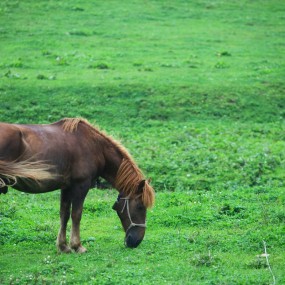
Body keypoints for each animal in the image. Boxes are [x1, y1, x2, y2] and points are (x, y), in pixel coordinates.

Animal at [0, 118, 154, 253]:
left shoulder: (66, 188)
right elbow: (76, 214)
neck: (94, 146)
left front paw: (63, 246)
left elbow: (64, 214)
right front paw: (77, 246)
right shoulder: (81, 186)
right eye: (140, 207)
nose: (136, 241)